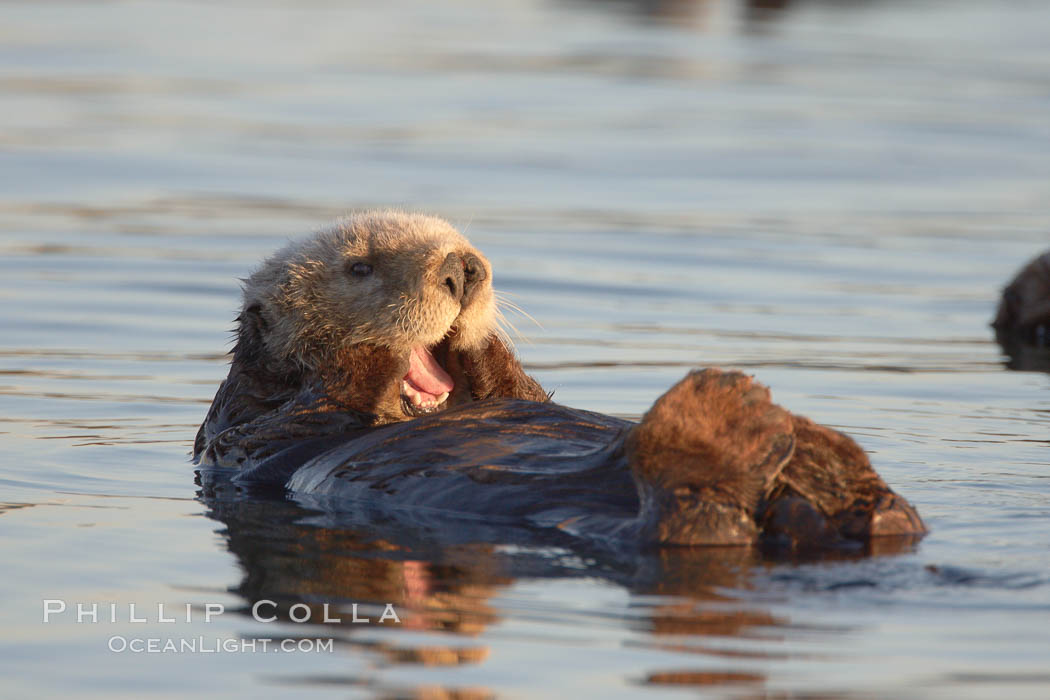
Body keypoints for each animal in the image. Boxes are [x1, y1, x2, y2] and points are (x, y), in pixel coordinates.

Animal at [193, 210, 923, 549]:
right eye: (360, 267)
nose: (462, 268)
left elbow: (520, 391)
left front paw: (482, 342)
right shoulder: (244, 434)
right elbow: (318, 404)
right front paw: (373, 345)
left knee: (887, 516)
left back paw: (812, 445)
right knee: (690, 520)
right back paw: (729, 410)